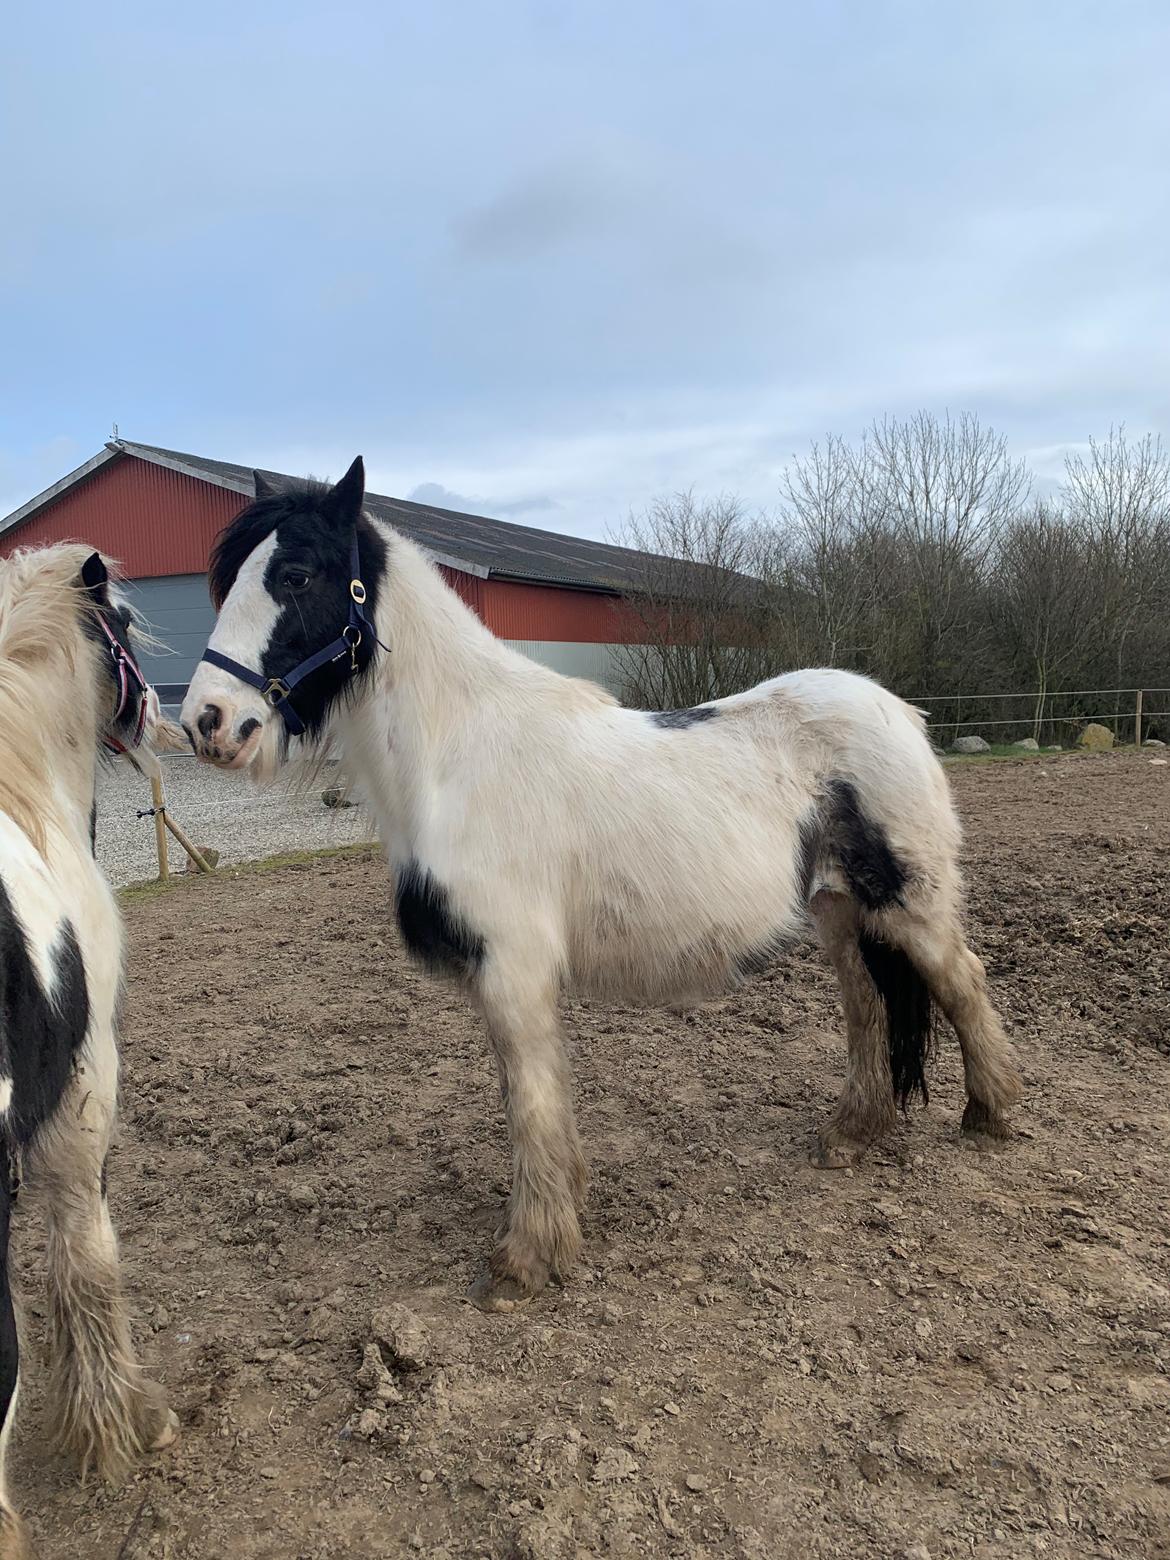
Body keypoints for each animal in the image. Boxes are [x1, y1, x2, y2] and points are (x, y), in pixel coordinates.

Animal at [183, 461, 1023, 1316]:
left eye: (295, 574)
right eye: (229, 581)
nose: (207, 722)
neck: (460, 755)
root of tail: (898, 711)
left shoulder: (514, 971)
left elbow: (530, 1103)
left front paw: (524, 1261)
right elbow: (531, 1100)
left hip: (908, 904)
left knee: (962, 983)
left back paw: (990, 1116)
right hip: (840, 910)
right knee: (868, 1006)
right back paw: (851, 1135)